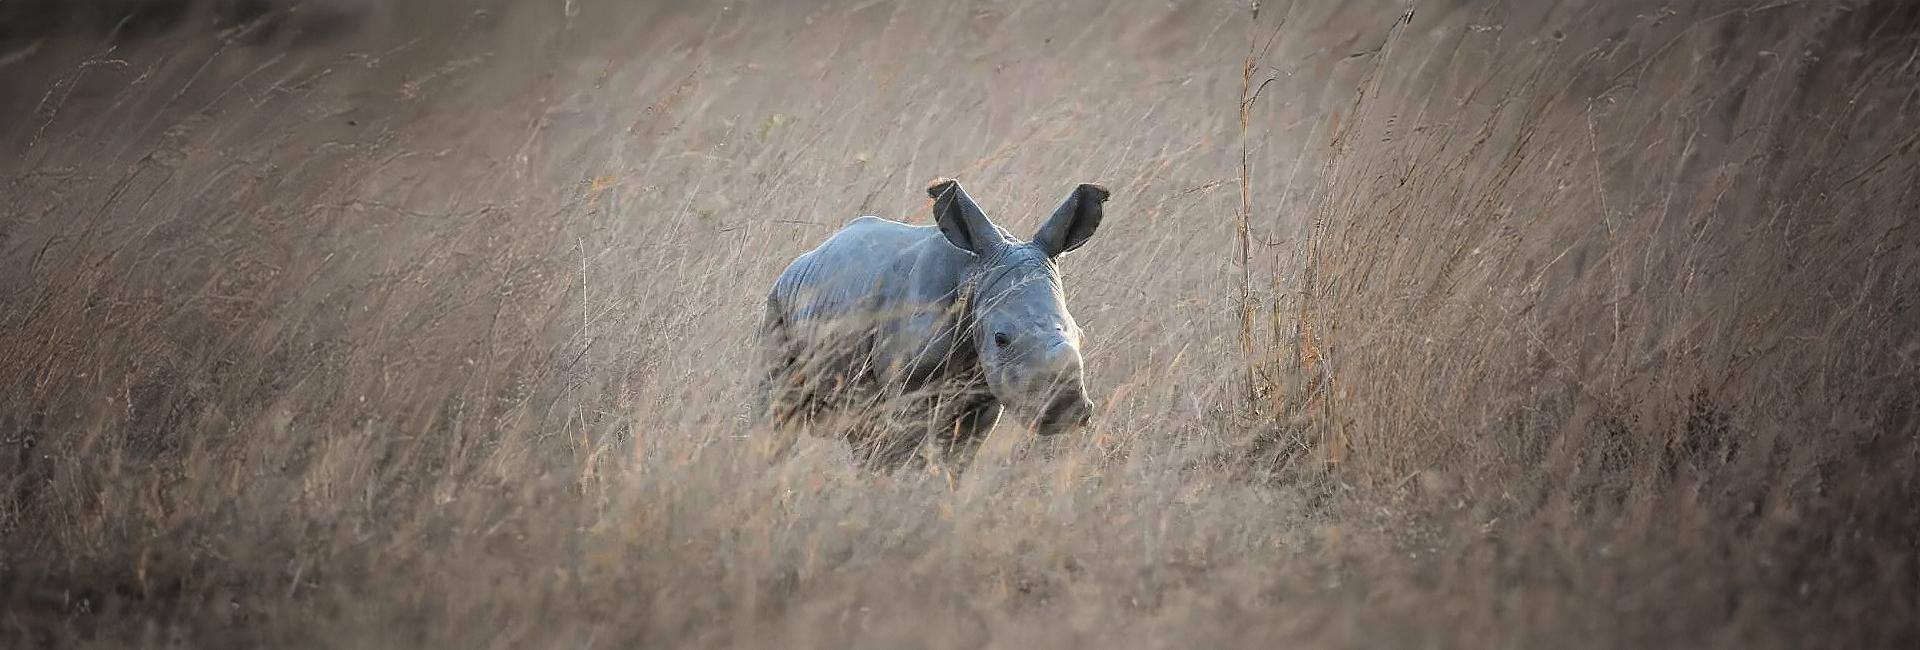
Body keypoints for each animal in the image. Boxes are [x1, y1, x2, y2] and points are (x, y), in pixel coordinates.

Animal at [756, 179, 1108, 470]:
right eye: (1001, 338)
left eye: (1081, 335)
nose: (1067, 410)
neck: (974, 272)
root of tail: (804, 259)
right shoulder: (907, 389)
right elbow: (903, 453)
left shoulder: (983, 400)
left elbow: (957, 462)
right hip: (778, 304)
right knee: (779, 413)